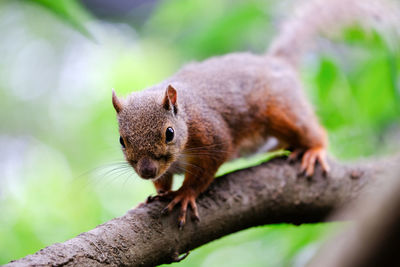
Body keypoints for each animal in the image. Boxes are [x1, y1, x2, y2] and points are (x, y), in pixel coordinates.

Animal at [111, 0, 398, 228]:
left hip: (280, 110)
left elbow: (206, 170)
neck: (186, 119)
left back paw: (314, 150)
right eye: (121, 140)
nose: (146, 171)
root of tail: (277, 63)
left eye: (169, 133)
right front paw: (155, 194)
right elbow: (164, 179)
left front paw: (184, 195)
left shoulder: (212, 135)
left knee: (311, 130)